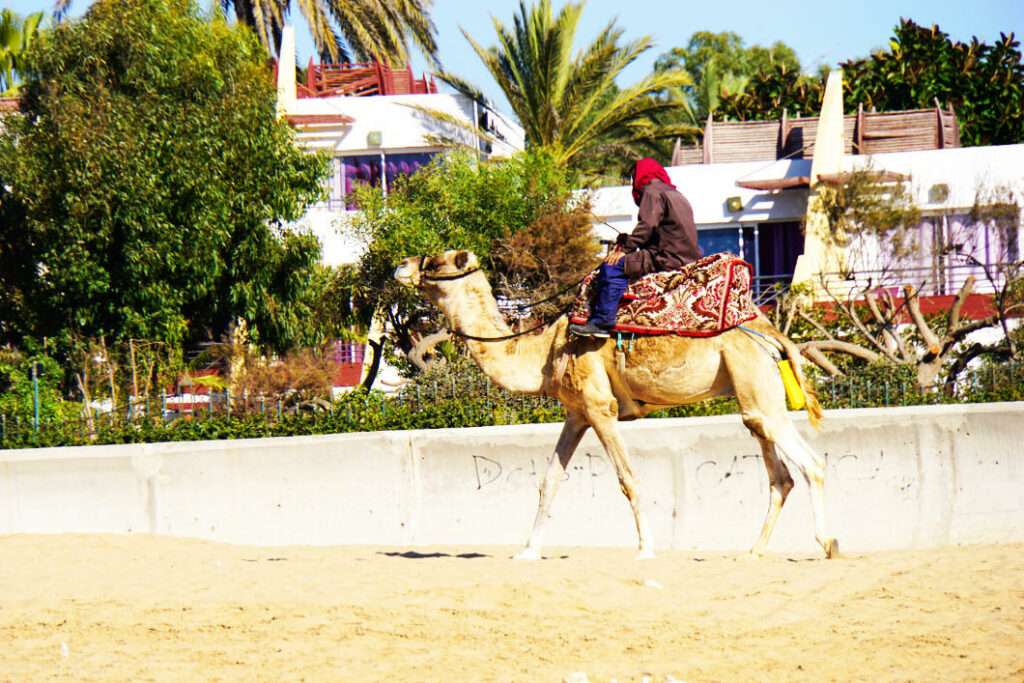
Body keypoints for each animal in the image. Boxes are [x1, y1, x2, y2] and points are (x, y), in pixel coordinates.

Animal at [395, 250, 838, 560]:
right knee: (778, 471)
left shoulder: (600, 406)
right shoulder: (576, 412)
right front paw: (528, 551)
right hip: (752, 390)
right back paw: (753, 550)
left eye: (436, 260)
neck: (543, 352)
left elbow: (628, 478)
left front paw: (646, 549)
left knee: (811, 463)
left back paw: (828, 542)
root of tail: (773, 334)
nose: (402, 265)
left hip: (757, 384)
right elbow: (549, 480)